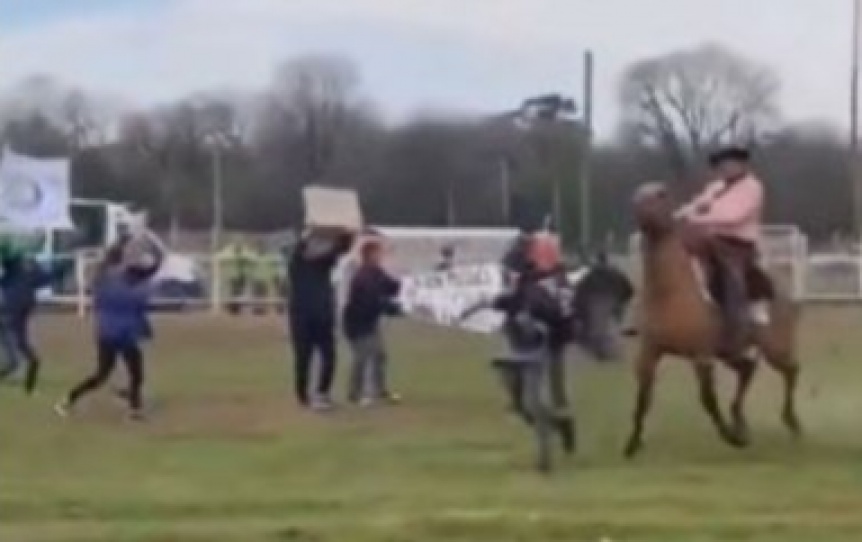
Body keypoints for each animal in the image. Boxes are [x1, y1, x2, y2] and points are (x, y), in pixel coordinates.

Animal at [628, 184, 804, 460]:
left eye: (661, 195)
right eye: (639, 193)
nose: (639, 206)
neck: (671, 292)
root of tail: (782, 293)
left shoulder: (701, 356)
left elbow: (708, 399)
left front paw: (731, 438)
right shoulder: (649, 353)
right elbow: (642, 399)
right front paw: (633, 443)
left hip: (775, 349)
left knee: (791, 371)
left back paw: (790, 423)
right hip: (729, 352)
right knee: (747, 370)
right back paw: (740, 421)